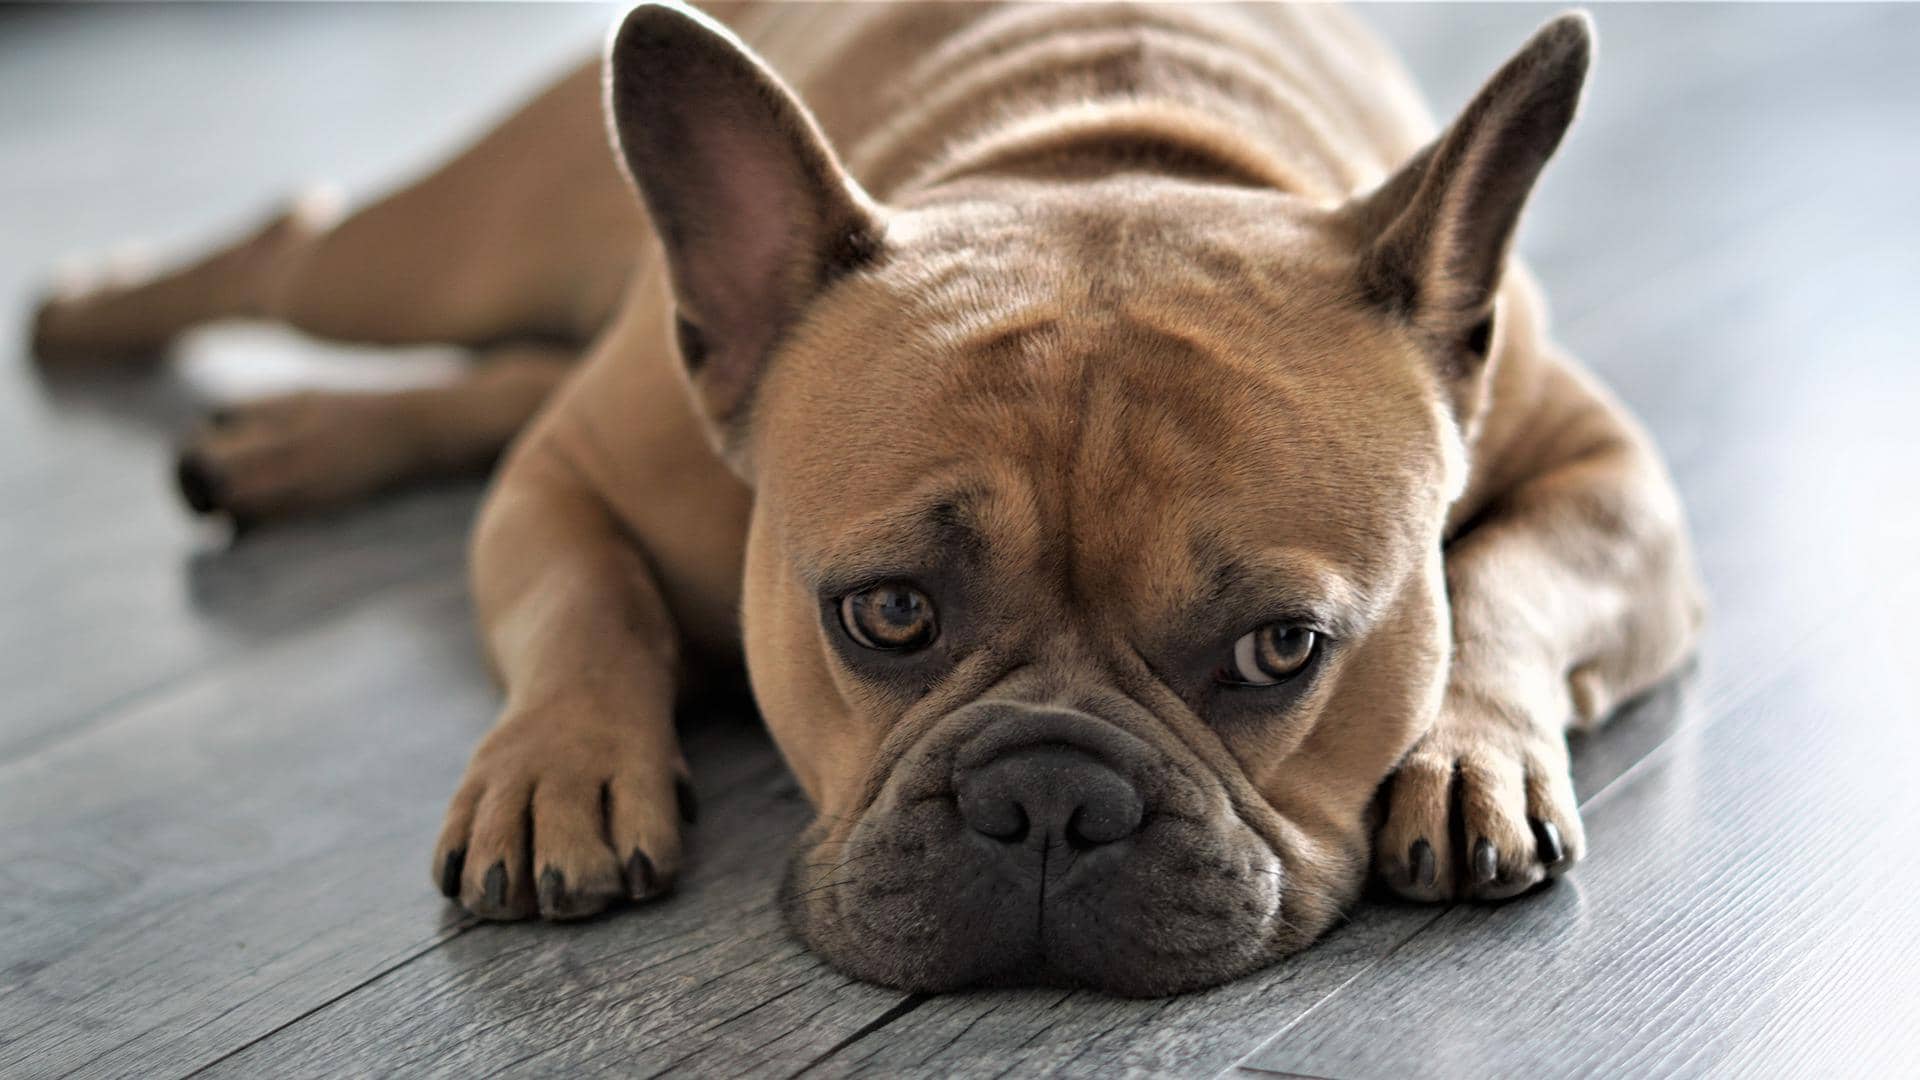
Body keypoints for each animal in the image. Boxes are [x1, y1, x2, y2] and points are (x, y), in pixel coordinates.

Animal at [30, 0, 1697, 991]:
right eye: (885, 616)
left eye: (1284, 649)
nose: (1051, 796)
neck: (1092, 159)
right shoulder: (572, 475)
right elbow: (587, 597)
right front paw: (559, 771)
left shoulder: (1616, 482)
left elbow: (1508, 581)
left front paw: (1470, 754)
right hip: (444, 248)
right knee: (298, 247)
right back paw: (93, 311)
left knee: (492, 371)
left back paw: (279, 442)